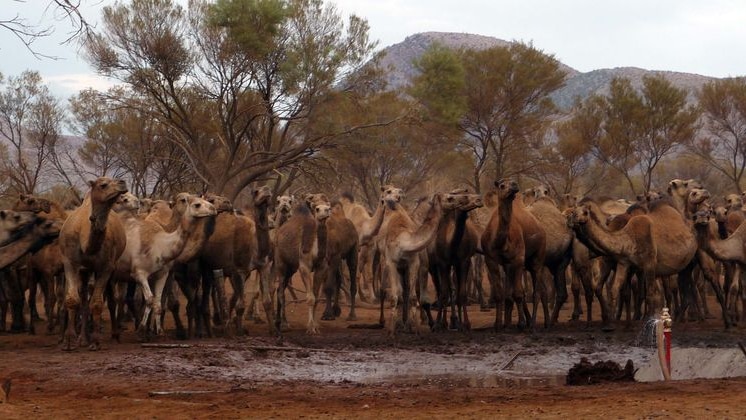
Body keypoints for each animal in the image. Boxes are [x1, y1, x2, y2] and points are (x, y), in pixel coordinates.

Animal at [58, 177, 127, 352]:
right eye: (103, 185)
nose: (122, 182)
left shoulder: (106, 267)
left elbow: (96, 303)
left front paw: (95, 342)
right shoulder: (70, 263)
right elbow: (72, 299)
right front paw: (69, 341)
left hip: (110, 268)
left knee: (111, 299)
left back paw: (114, 335)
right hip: (84, 271)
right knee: (83, 298)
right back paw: (83, 338)